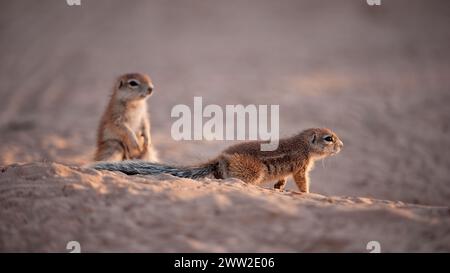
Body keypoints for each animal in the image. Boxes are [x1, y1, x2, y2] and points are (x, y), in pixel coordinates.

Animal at [92, 127, 344, 191]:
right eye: (328, 138)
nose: (342, 145)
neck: (303, 144)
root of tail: (220, 158)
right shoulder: (301, 167)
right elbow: (302, 182)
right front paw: (306, 193)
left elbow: (283, 180)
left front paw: (279, 187)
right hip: (253, 171)